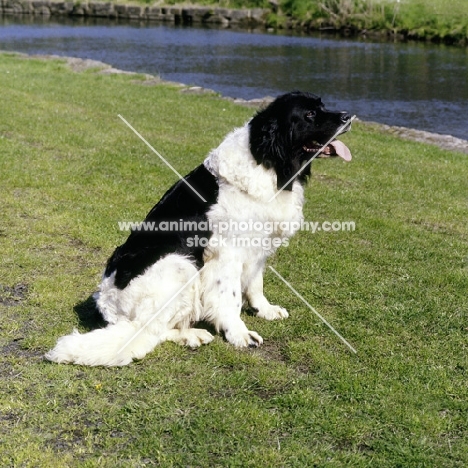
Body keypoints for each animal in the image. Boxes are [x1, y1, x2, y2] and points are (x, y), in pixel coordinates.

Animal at [45, 91, 352, 366]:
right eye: (310, 114)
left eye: (322, 105)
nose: (348, 116)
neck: (270, 164)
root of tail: (107, 305)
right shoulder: (227, 253)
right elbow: (229, 297)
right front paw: (239, 333)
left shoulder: (258, 246)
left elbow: (256, 283)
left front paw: (264, 310)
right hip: (179, 263)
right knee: (148, 329)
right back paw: (191, 335)